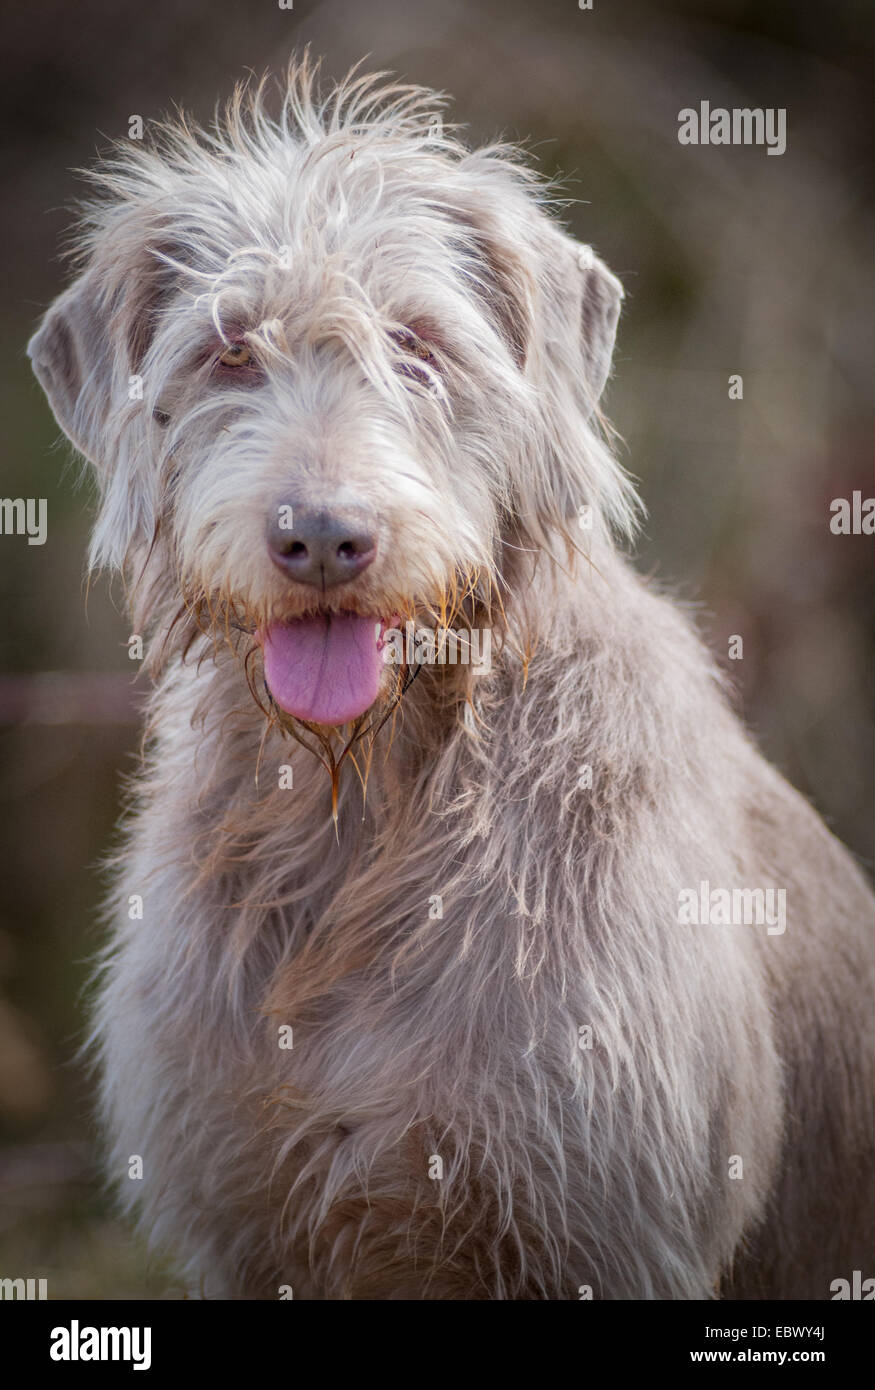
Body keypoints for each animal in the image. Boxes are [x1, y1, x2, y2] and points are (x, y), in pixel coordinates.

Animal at [27, 59, 873, 1295]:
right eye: (228, 350)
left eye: (417, 341)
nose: (322, 538)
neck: (368, 806)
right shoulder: (245, 1224)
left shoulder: (596, 1225)